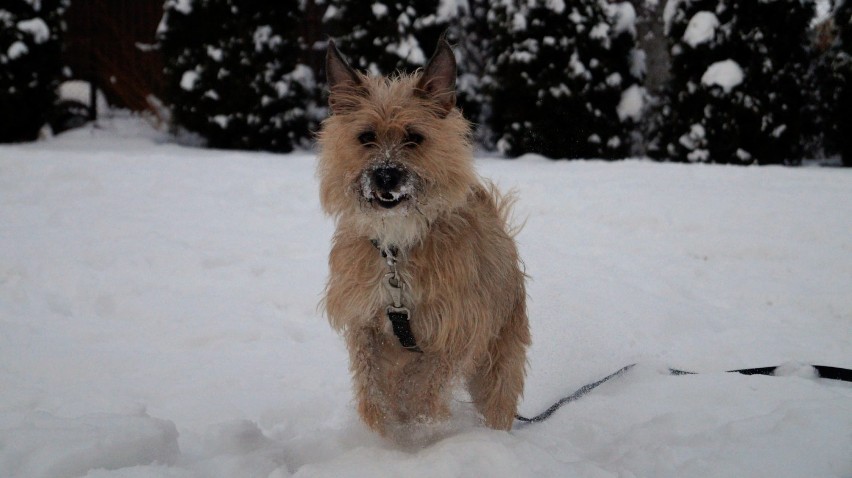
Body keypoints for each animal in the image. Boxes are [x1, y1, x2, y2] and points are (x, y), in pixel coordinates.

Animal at [316, 38, 528, 436]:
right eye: (366, 137)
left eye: (414, 137)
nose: (386, 176)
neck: (397, 248)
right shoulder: (365, 320)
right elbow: (370, 377)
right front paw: (383, 419)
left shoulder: (457, 327)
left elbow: (429, 379)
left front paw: (420, 421)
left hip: (498, 358)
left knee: (495, 397)